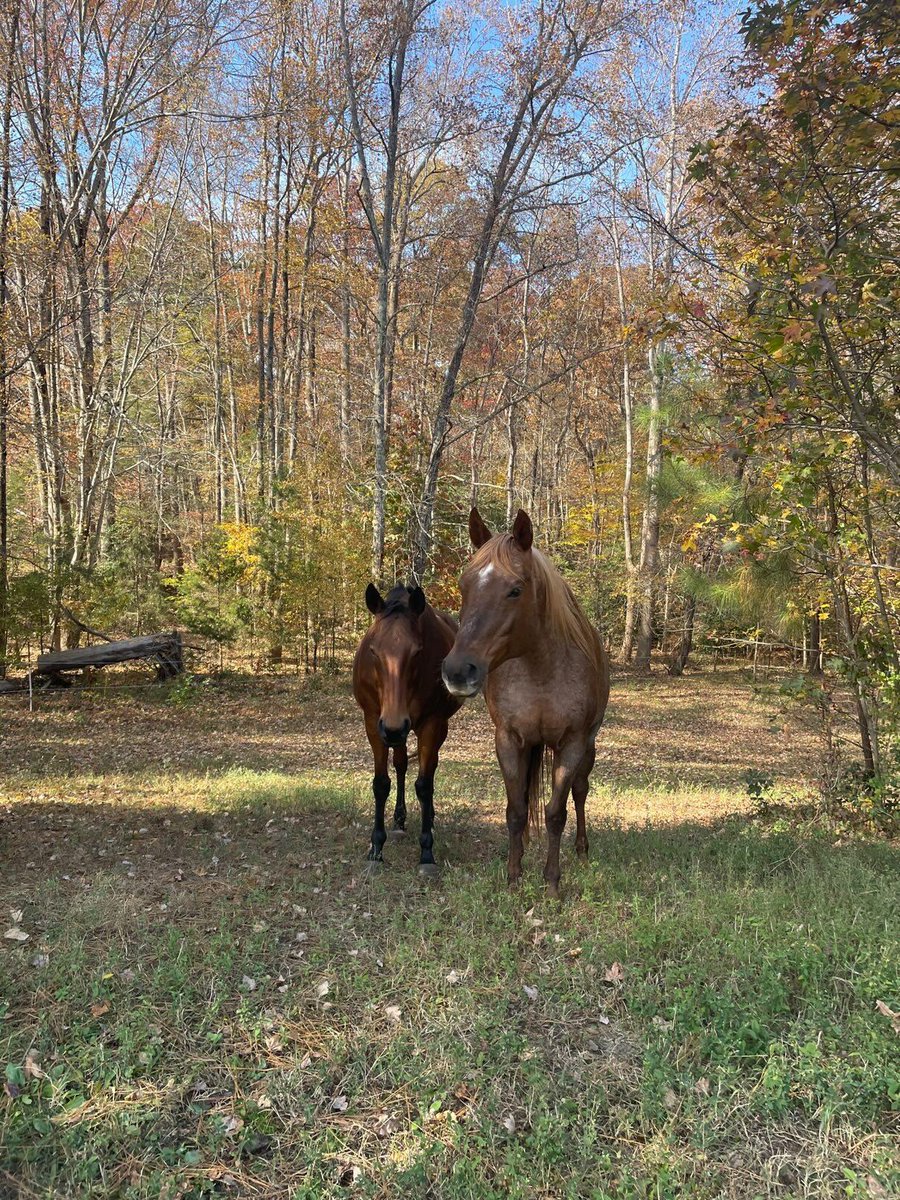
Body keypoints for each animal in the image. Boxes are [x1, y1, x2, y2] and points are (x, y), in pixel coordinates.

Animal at [353, 583, 462, 876]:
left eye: (416, 652)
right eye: (373, 651)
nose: (393, 726)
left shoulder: (431, 724)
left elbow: (424, 785)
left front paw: (426, 853)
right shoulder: (374, 722)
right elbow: (381, 783)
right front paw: (376, 848)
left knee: (430, 768)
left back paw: (429, 818)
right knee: (401, 764)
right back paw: (399, 820)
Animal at [441, 509, 610, 898]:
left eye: (515, 590)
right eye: (464, 585)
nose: (457, 671)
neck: (541, 670)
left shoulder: (572, 744)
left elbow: (556, 813)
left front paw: (551, 884)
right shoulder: (508, 740)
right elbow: (516, 810)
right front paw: (513, 876)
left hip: (589, 747)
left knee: (581, 792)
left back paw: (581, 850)